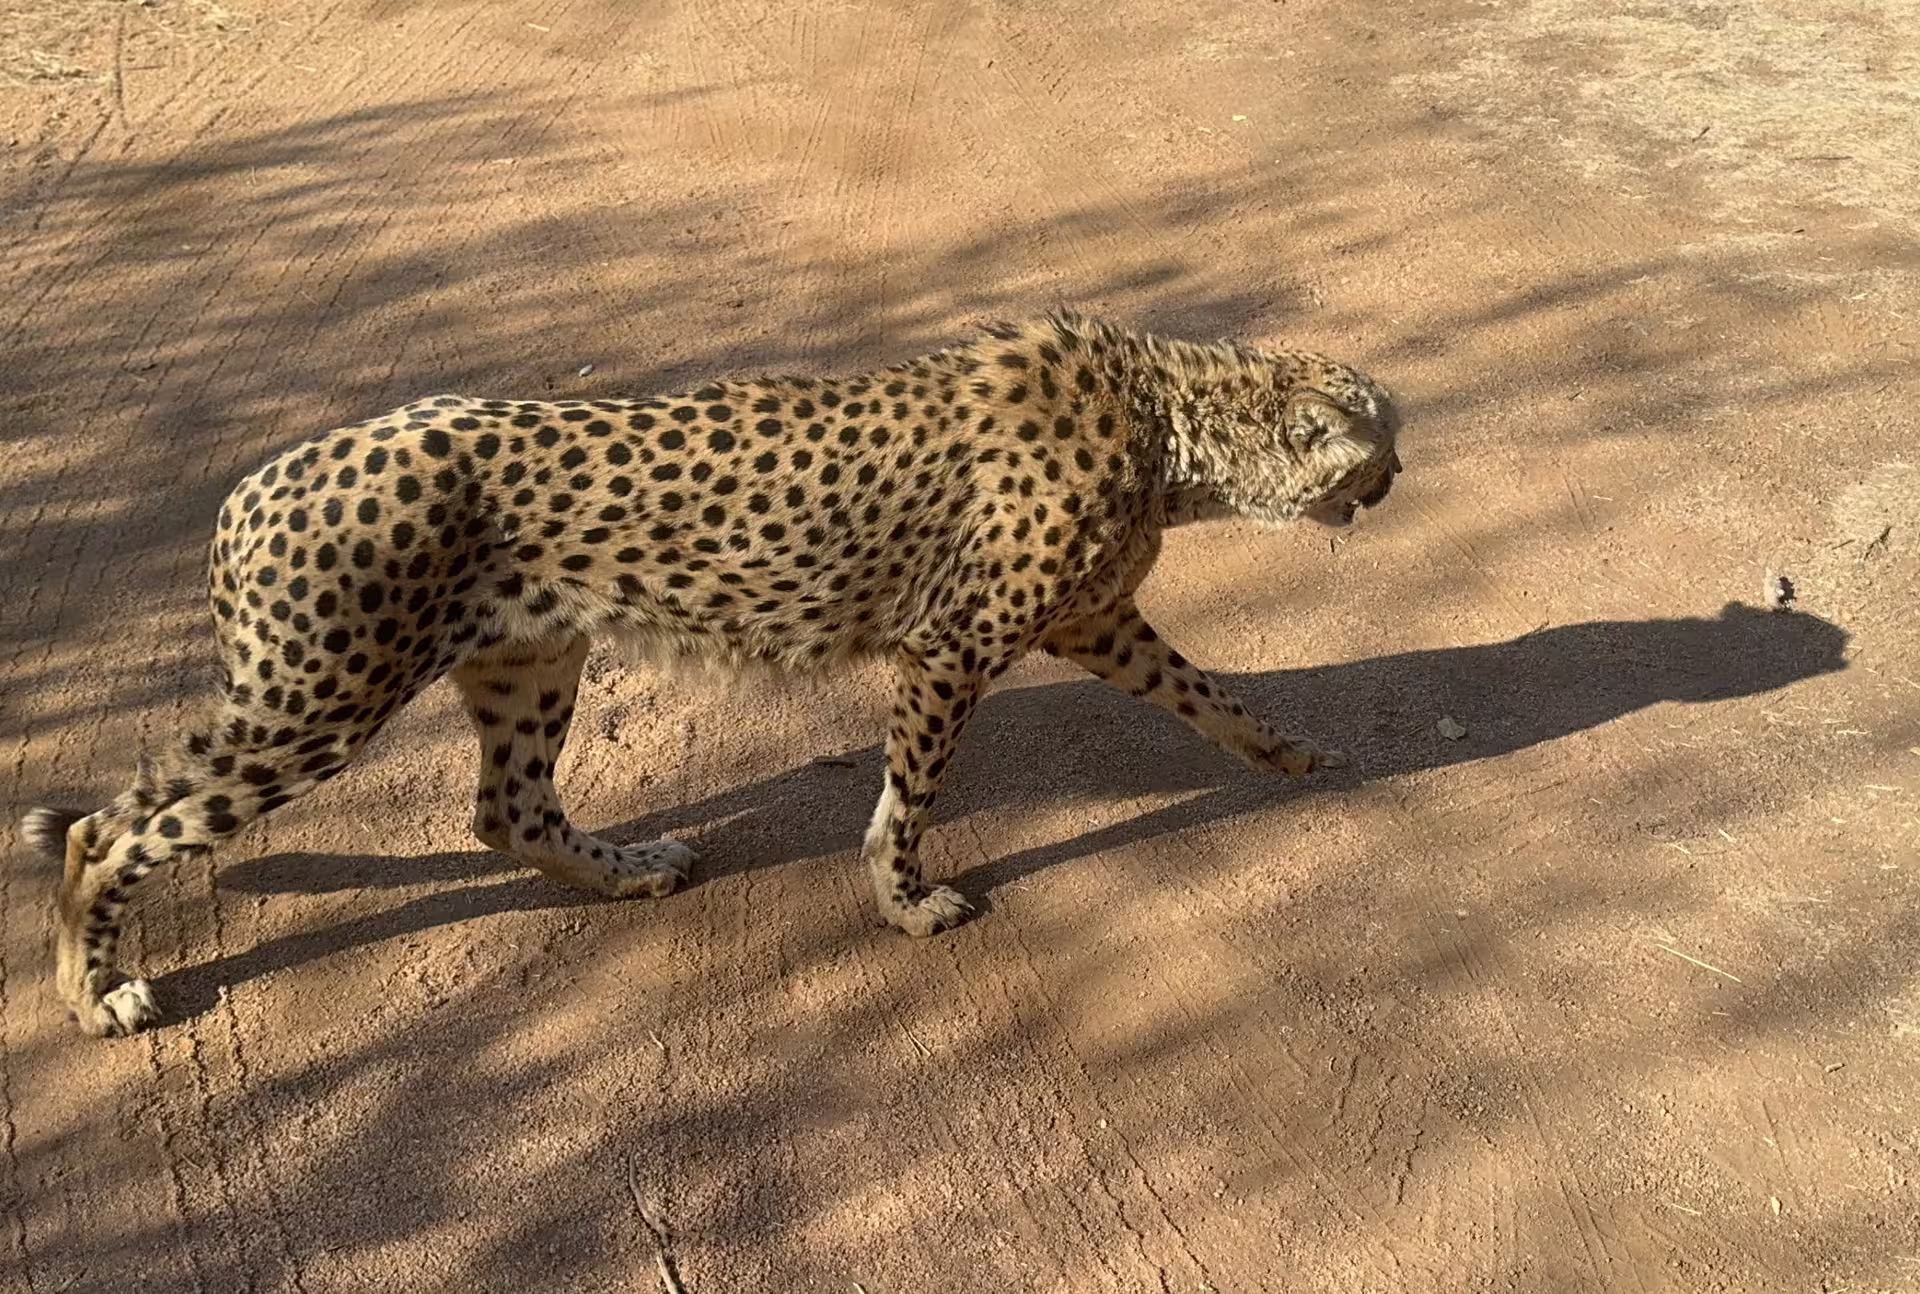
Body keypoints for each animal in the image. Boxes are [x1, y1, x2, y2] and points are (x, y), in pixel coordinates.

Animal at [20, 310, 1402, 1038]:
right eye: (1378, 441)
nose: (1400, 480)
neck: (1171, 419)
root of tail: (259, 478)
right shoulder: (949, 647)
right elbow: (910, 801)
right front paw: (906, 903)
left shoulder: (1098, 621)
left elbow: (1207, 691)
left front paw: (1293, 752)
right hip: (319, 699)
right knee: (109, 830)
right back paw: (94, 994)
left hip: (530, 655)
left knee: (506, 807)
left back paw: (632, 868)